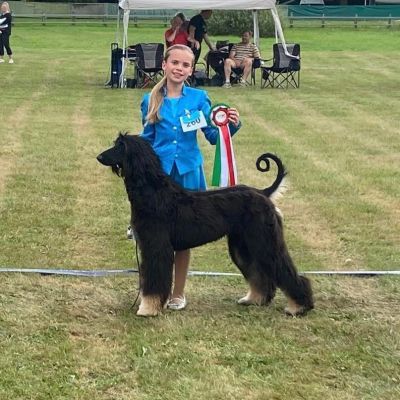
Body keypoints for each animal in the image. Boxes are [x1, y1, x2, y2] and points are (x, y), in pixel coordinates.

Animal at [97, 133, 314, 317]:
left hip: (264, 241)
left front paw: (148, 309)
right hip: (243, 245)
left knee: (286, 271)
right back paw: (254, 299)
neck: (154, 192)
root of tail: (263, 193)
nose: (99, 156)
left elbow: (154, 281)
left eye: (121, 146)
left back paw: (298, 307)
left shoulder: (157, 247)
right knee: (259, 275)